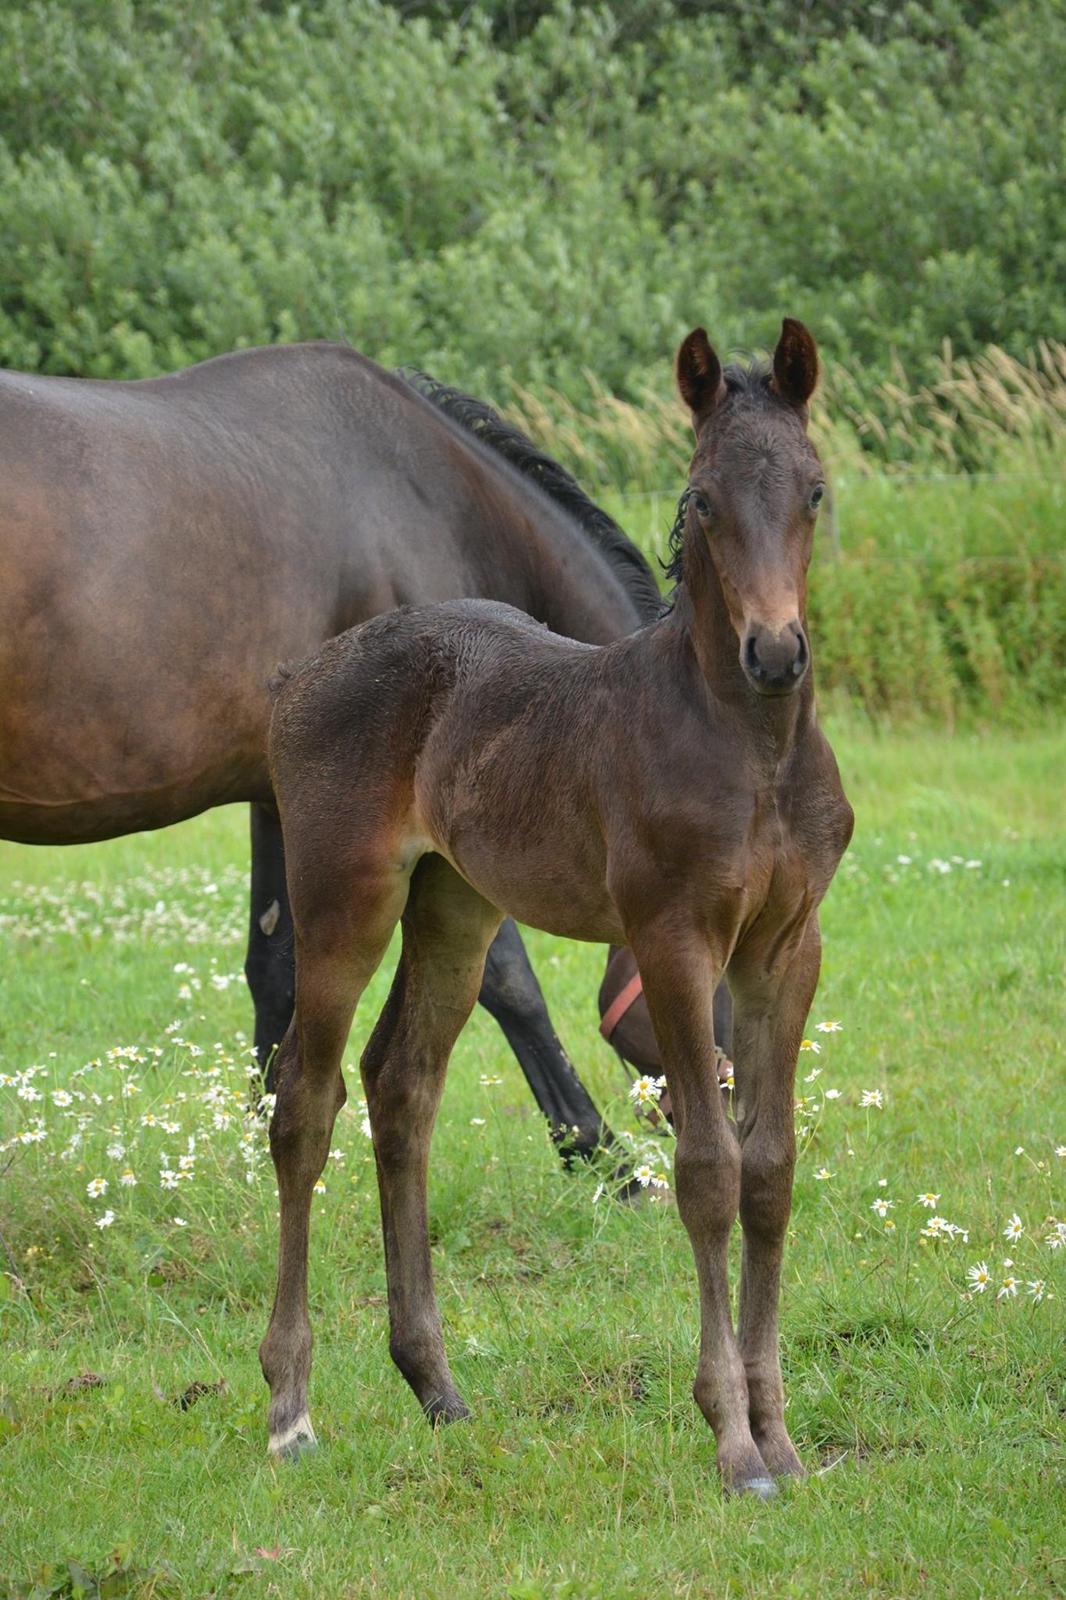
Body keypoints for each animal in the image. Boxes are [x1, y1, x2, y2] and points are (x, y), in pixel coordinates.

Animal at [260, 315, 851, 1497]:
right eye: (701, 500)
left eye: (813, 490)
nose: (775, 652)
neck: (753, 747)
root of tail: (304, 674)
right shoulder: (673, 939)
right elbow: (707, 1172)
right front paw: (732, 1444)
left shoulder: (785, 947)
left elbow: (769, 1172)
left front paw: (781, 1436)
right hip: (344, 897)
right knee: (305, 1101)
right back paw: (292, 1408)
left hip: (454, 905)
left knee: (402, 1086)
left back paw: (436, 1386)